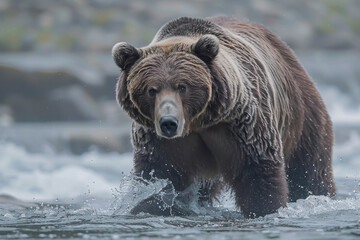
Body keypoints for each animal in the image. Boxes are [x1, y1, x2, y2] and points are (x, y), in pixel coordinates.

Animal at [112, 16, 334, 218]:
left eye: (182, 86)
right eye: (151, 90)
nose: (169, 123)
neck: (198, 123)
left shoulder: (242, 125)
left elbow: (259, 171)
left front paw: (265, 208)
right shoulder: (159, 142)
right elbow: (160, 177)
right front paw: (152, 205)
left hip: (301, 113)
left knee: (309, 170)